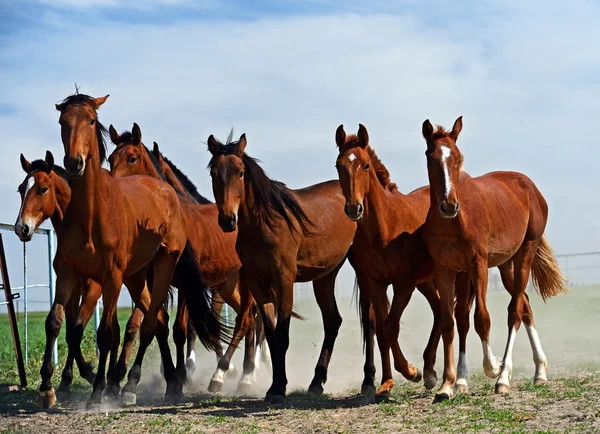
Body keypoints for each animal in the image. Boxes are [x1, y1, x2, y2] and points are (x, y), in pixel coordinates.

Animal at [40, 92, 223, 410]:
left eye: (91, 120)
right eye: (63, 121)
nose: (74, 162)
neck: (92, 213)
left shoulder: (112, 278)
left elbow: (107, 333)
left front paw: (99, 391)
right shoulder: (69, 272)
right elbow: (56, 322)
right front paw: (48, 388)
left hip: (166, 271)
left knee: (155, 324)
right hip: (137, 277)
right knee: (156, 321)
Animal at [108, 125, 268, 394]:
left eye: (132, 158)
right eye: (110, 159)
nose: (115, 189)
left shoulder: (187, 284)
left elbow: (180, 330)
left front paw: (180, 378)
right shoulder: (157, 282)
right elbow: (152, 323)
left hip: (244, 283)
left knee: (247, 319)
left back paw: (237, 375)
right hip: (227, 285)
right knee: (249, 319)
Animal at [206, 132, 376, 404]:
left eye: (240, 172)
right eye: (214, 173)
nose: (227, 220)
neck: (264, 224)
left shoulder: (283, 281)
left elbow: (282, 336)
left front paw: (278, 388)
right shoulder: (258, 284)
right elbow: (272, 335)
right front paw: (274, 386)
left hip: (361, 270)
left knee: (368, 321)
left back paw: (368, 381)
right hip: (324, 277)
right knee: (333, 321)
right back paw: (316, 382)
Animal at [332, 124, 446, 396]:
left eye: (365, 165)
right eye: (339, 165)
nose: (353, 209)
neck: (385, 229)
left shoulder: (403, 284)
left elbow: (392, 325)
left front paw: (411, 371)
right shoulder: (375, 284)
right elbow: (382, 331)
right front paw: (386, 382)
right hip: (425, 282)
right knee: (438, 311)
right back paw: (429, 370)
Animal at [418, 116, 568, 400]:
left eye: (458, 158)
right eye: (430, 157)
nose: (449, 205)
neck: (453, 222)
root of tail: (530, 187)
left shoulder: (478, 265)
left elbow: (482, 319)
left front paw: (493, 367)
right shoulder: (447, 270)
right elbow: (451, 322)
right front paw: (449, 385)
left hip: (525, 253)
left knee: (515, 311)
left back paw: (504, 377)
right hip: (507, 264)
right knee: (525, 305)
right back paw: (539, 372)